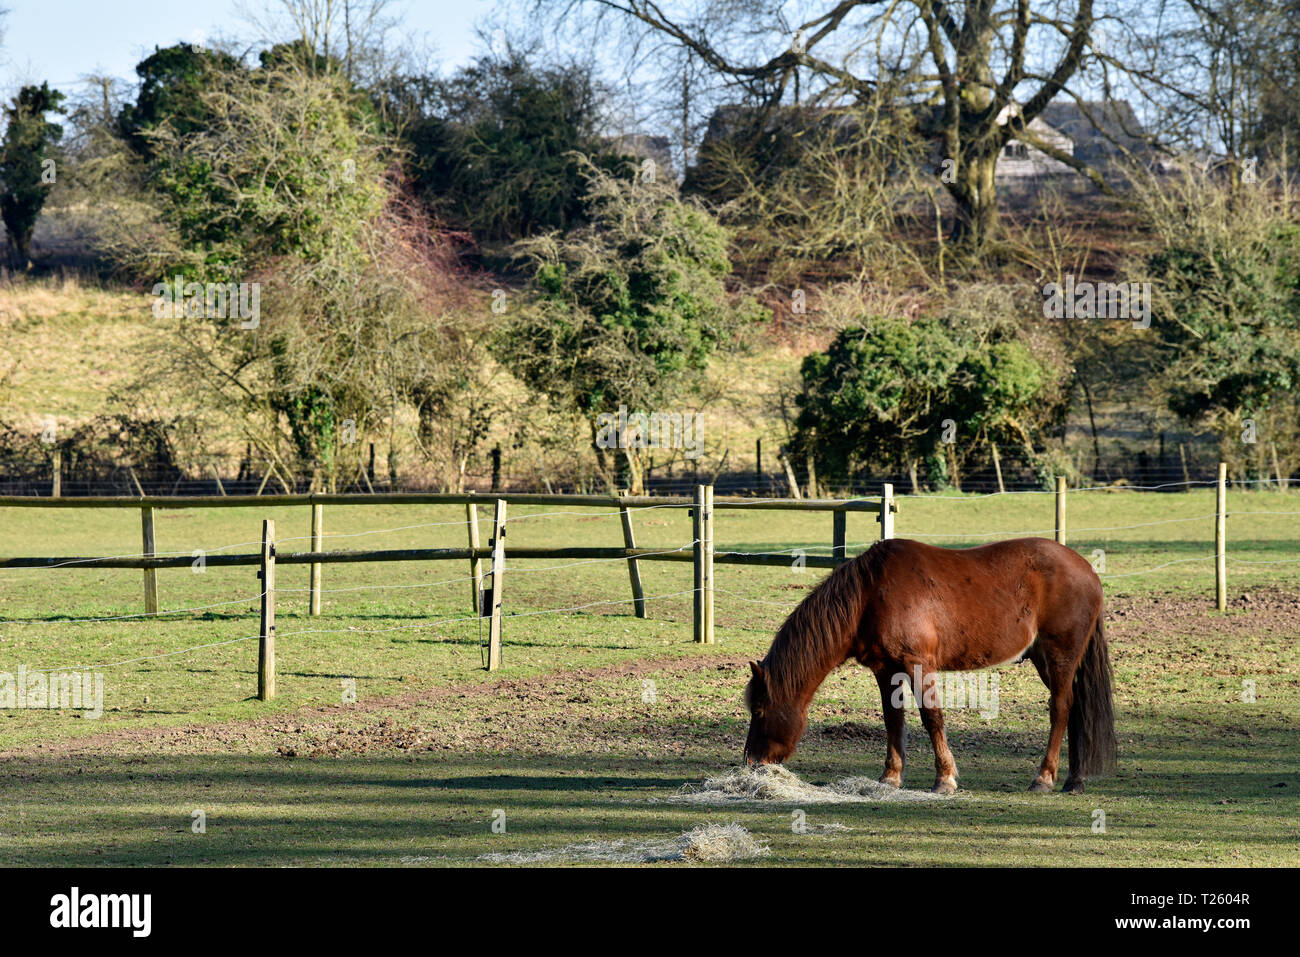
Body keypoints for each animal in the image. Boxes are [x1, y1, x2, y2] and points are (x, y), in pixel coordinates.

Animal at [743, 537, 1116, 794]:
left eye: (759, 710)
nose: (751, 763)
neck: (870, 595)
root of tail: (1086, 569)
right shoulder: (885, 670)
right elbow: (893, 720)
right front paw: (890, 777)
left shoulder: (918, 665)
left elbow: (931, 717)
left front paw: (945, 778)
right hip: (1045, 659)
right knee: (1074, 709)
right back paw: (1073, 779)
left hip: (1059, 656)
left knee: (1061, 708)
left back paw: (1045, 778)